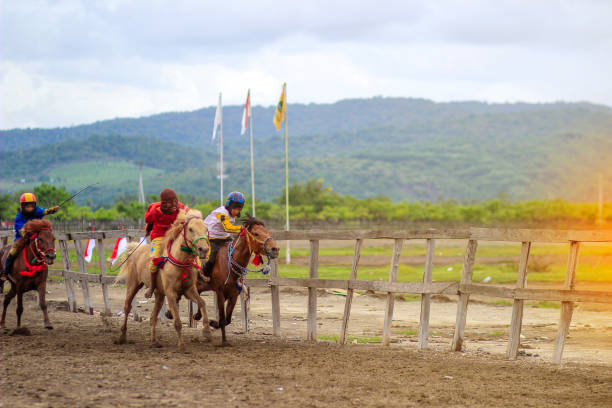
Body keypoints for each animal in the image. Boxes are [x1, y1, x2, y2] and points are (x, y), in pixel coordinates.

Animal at [116, 209, 214, 352]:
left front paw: (207, 331)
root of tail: (136, 250)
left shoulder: (189, 289)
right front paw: (181, 345)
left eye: (206, 229)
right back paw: (122, 336)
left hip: (160, 295)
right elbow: (177, 322)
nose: (204, 249)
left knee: (152, 317)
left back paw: (154, 341)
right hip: (133, 285)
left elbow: (202, 303)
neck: (180, 261)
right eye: (190, 229)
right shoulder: (171, 293)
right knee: (127, 307)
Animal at [170, 215, 280, 346]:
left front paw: (213, 323)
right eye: (256, 233)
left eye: (268, 232)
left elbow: (227, 319)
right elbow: (222, 318)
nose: (275, 249)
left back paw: (196, 315)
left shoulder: (234, 294)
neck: (230, 262)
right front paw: (224, 341)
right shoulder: (220, 293)